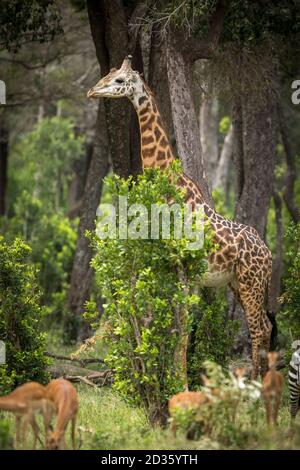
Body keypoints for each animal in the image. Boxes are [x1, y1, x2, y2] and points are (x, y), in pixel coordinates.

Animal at [86, 55, 274, 380]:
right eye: (107, 75)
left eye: (119, 80)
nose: (92, 92)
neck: (170, 185)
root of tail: (269, 254)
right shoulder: (170, 267)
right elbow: (172, 325)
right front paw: (171, 376)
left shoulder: (184, 267)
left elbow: (183, 327)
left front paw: (180, 381)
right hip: (238, 283)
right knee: (265, 324)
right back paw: (262, 383)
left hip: (252, 282)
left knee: (258, 329)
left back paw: (255, 385)